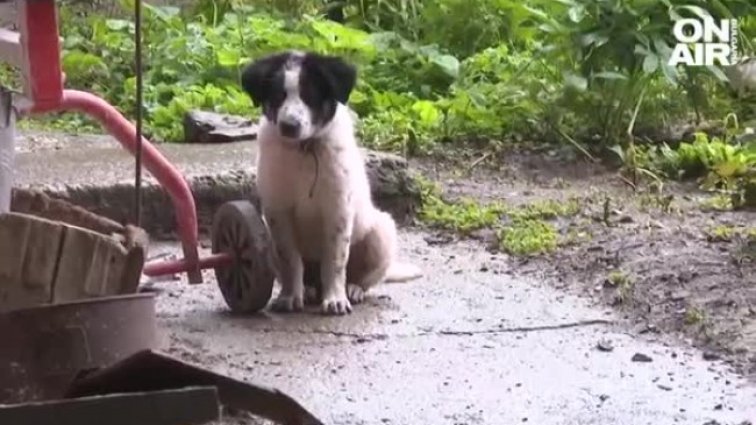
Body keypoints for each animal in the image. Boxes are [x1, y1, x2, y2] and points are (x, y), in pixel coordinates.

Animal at [241, 50, 422, 314]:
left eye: (309, 96)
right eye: (277, 95)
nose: (289, 126)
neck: (304, 150)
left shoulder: (338, 209)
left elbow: (335, 260)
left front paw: (335, 299)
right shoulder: (278, 211)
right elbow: (290, 259)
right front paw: (290, 296)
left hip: (381, 232)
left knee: (363, 277)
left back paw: (353, 290)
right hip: (266, 236)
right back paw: (307, 290)